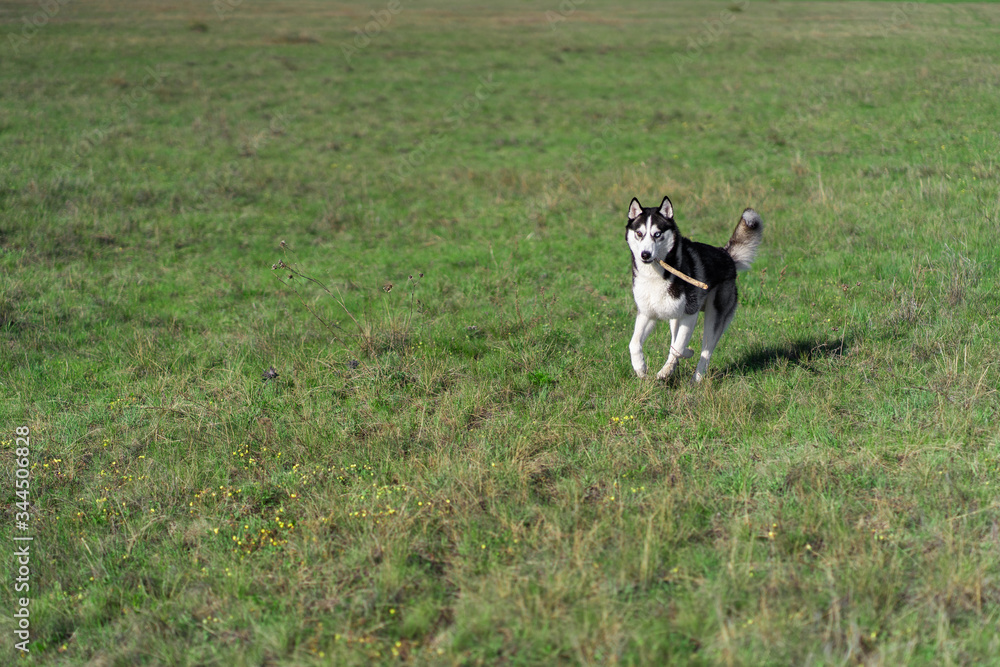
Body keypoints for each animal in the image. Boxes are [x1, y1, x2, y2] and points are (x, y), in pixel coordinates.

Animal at [624, 196, 764, 384]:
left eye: (657, 234)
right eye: (639, 234)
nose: (645, 254)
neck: (655, 276)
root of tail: (726, 255)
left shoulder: (690, 314)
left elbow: (677, 347)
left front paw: (672, 365)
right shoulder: (648, 314)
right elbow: (635, 344)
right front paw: (640, 368)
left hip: (714, 316)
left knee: (706, 350)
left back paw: (695, 379)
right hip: (674, 318)